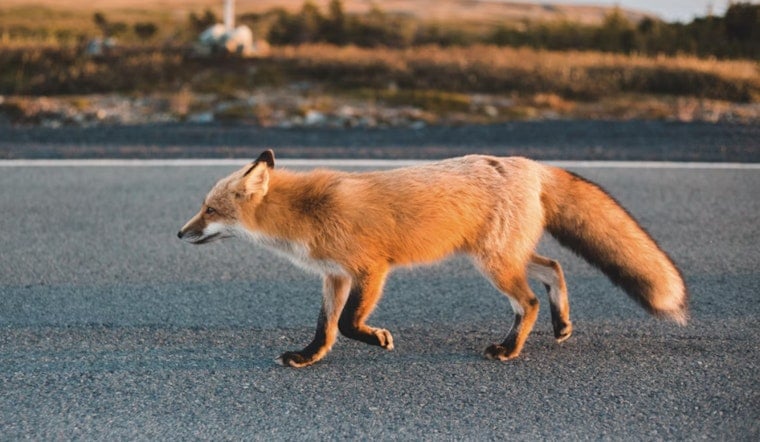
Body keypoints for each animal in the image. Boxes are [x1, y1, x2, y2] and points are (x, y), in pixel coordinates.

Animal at [178, 149, 688, 368]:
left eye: (210, 210)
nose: (180, 233)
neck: (307, 211)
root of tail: (530, 164)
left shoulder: (371, 268)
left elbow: (350, 324)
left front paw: (378, 339)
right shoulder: (335, 276)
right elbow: (326, 328)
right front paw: (308, 357)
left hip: (493, 263)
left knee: (528, 301)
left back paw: (509, 349)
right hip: (501, 256)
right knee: (553, 268)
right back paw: (561, 324)